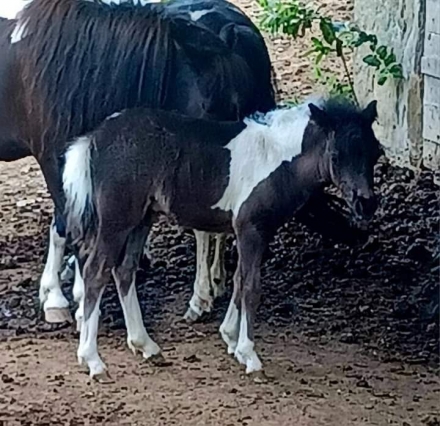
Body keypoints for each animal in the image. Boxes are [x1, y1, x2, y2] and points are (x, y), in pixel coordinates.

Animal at [62, 98, 382, 378]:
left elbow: (239, 280)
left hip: (142, 219)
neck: (277, 159)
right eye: (336, 156)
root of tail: (92, 138)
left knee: (124, 270)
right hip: (116, 221)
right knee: (95, 272)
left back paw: (146, 346)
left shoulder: (257, 232)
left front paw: (230, 339)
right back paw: (93, 361)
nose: (366, 204)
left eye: (375, 153)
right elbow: (251, 287)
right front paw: (249, 355)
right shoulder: (250, 228)